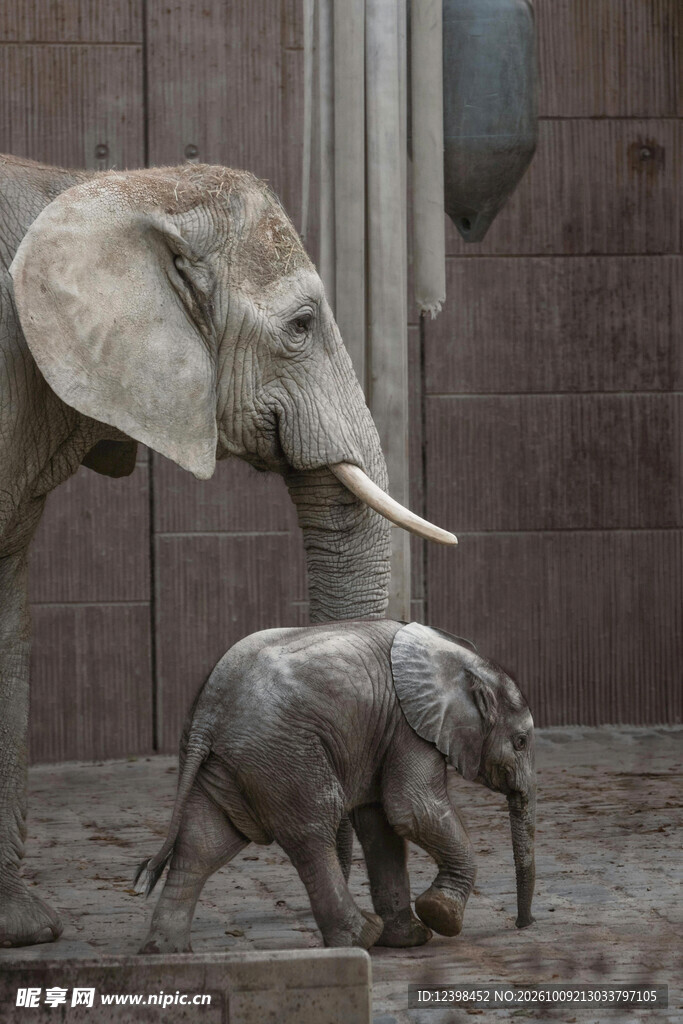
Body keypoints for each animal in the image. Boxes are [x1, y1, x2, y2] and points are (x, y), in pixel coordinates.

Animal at [137, 619, 536, 953]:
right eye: (521, 742)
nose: (523, 925)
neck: (461, 658)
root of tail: (208, 712)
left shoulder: (384, 734)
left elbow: (381, 826)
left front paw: (410, 940)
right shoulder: (408, 728)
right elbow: (412, 810)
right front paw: (441, 916)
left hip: (226, 763)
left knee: (204, 844)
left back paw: (167, 954)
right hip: (282, 754)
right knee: (313, 830)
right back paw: (362, 937)